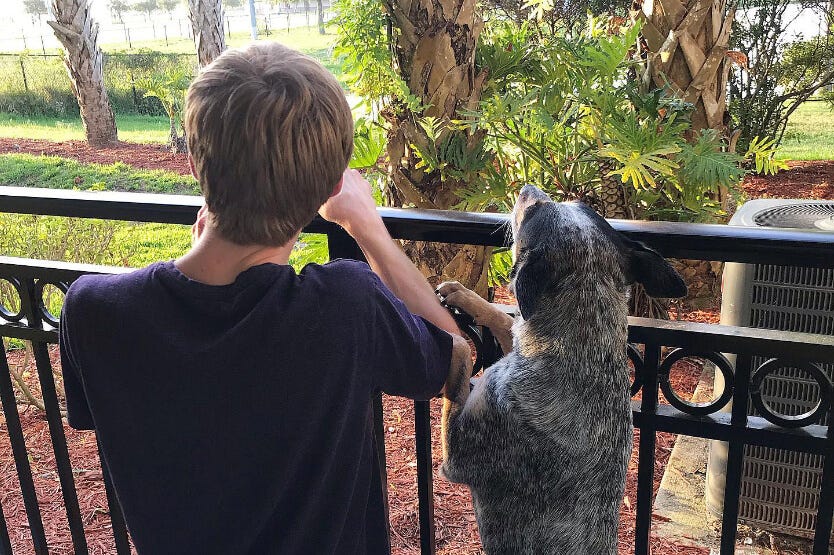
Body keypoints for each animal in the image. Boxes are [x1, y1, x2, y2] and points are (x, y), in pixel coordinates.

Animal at [436, 186, 684, 555]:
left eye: (532, 210)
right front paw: (463, 294)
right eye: (579, 204)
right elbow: (502, 318)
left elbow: (460, 364)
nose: (529, 188)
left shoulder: (456, 453)